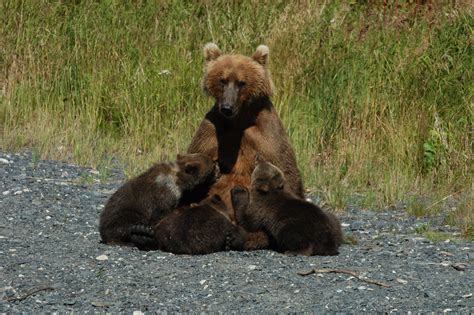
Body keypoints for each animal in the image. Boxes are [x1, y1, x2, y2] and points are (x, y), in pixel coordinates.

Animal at [186, 43, 304, 223]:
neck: (238, 120)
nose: (227, 107)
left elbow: (285, 166)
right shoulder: (212, 129)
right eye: (222, 80)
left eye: (241, 82)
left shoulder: (266, 133)